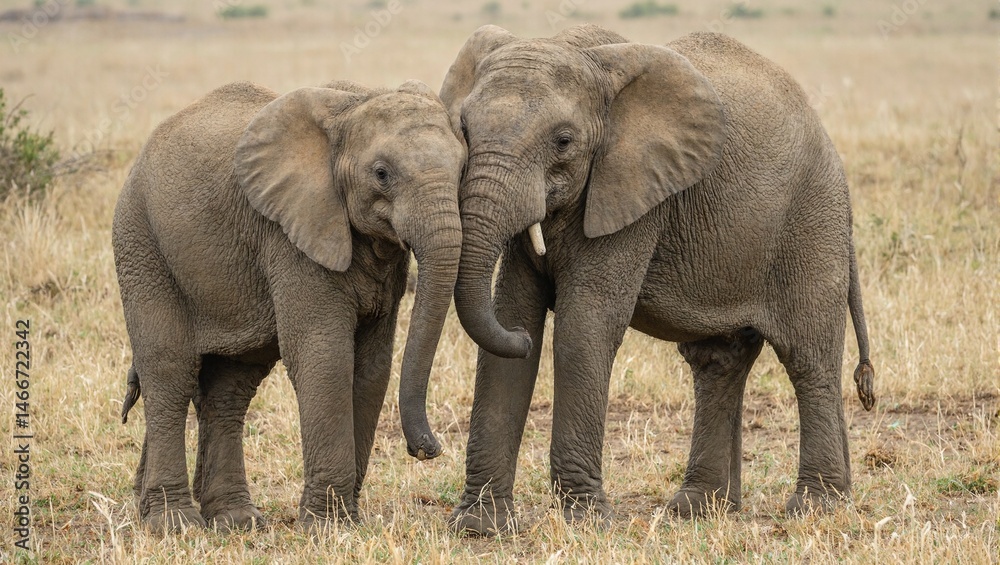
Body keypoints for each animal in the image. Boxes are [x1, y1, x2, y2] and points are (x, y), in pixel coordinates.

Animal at [113, 79, 465, 532]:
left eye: (462, 168)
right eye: (381, 174)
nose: (427, 449)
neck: (353, 104)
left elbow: (371, 369)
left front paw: (345, 520)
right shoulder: (292, 238)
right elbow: (324, 358)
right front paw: (328, 528)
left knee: (230, 386)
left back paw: (234, 520)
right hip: (142, 243)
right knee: (169, 371)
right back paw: (174, 524)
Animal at [438, 25, 876, 535]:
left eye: (564, 141)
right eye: (464, 129)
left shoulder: (633, 195)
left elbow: (584, 330)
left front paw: (586, 523)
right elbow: (512, 316)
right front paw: (479, 526)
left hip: (811, 221)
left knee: (808, 359)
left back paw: (817, 507)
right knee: (719, 363)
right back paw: (699, 508)